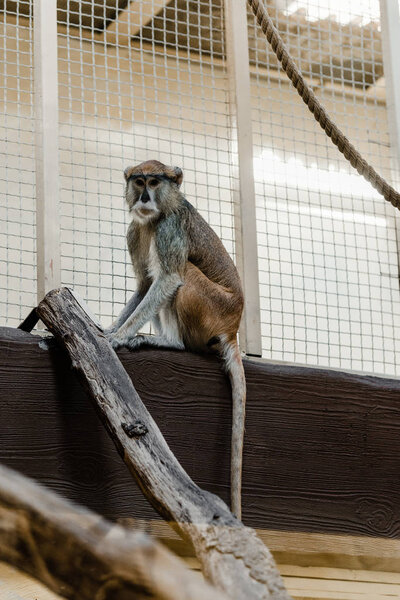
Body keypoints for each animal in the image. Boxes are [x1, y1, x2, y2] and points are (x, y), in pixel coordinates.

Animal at [108, 159, 247, 520]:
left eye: (155, 182)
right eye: (139, 181)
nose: (144, 196)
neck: (157, 216)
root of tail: (233, 327)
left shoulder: (169, 230)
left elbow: (168, 278)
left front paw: (120, 337)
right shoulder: (135, 231)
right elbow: (145, 285)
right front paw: (110, 329)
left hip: (212, 308)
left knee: (185, 275)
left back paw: (172, 343)